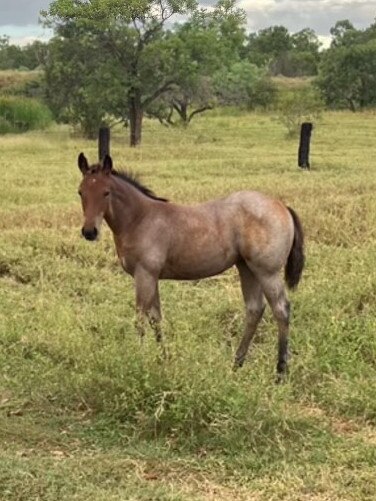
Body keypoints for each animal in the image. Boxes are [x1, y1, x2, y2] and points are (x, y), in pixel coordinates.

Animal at [78, 152, 304, 378]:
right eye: (80, 192)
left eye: (106, 193)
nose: (89, 232)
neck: (140, 219)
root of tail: (282, 206)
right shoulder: (152, 276)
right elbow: (156, 318)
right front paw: (163, 359)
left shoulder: (144, 274)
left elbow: (140, 320)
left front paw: (138, 361)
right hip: (247, 268)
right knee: (255, 309)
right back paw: (236, 364)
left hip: (267, 272)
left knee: (281, 310)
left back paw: (280, 372)